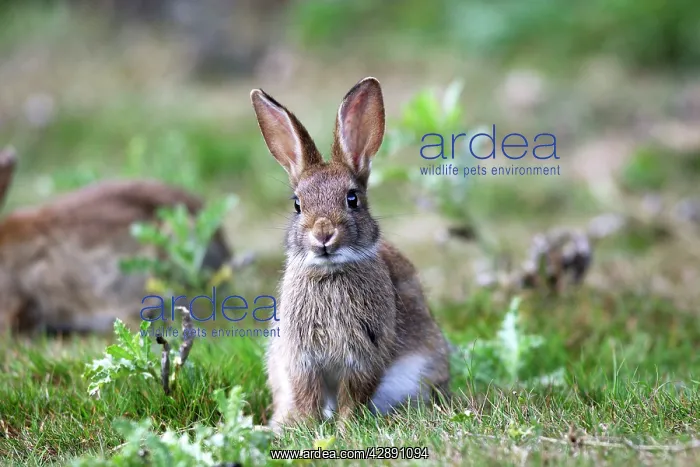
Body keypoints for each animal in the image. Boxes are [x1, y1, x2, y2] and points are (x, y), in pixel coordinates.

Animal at [250, 77, 451, 432]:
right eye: (297, 205)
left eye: (352, 199)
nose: (323, 235)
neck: (330, 272)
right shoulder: (300, 358)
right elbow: (307, 395)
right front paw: (305, 426)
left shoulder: (364, 356)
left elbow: (352, 395)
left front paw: (344, 428)